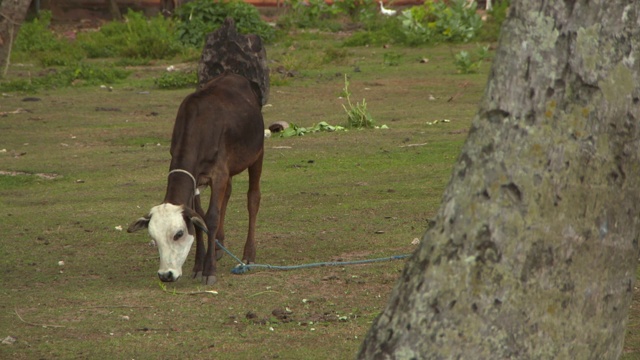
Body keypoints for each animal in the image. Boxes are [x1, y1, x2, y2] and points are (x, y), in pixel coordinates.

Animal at [129, 70, 264, 286]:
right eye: (154, 238)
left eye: (179, 234)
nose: (166, 275)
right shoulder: (196, 178)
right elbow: (199, 218)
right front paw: (198, 267)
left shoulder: (219, 173)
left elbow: (211, 217)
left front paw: (209, 270)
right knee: (227, 195)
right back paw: (217, 246)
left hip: (257, 154)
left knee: (253, 198)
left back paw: (248, 255)